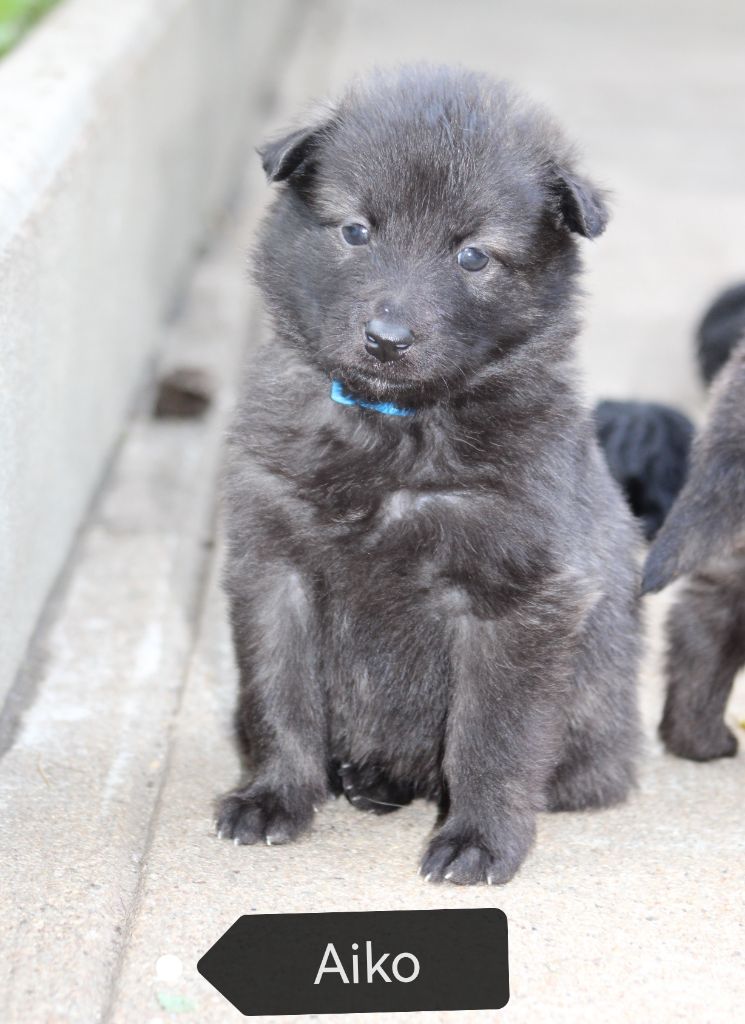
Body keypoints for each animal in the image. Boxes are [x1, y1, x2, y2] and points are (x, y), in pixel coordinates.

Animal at [216, 67, 641, 885]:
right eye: (355, 231)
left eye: (473, 256)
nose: (387, 339)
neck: (393, 427)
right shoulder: (274, 564)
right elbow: (278, 697)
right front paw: (275, 795)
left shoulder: (516, 594)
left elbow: (492, 735)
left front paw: (478, 840)